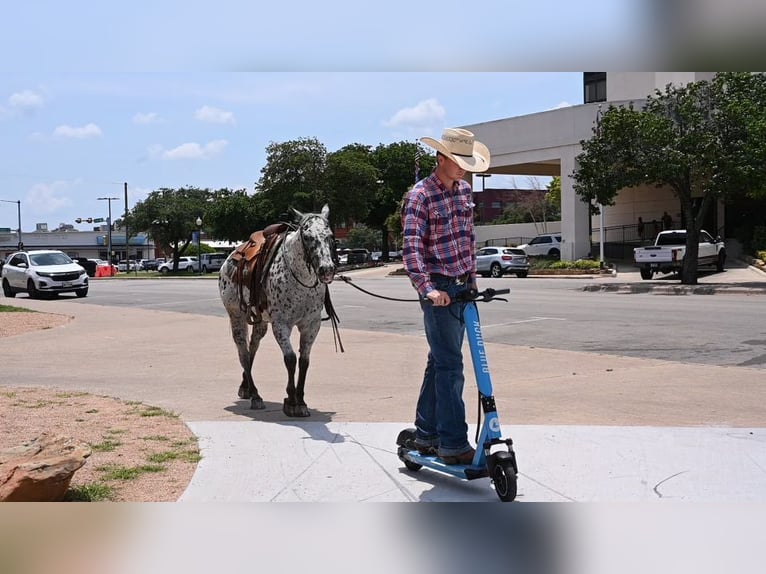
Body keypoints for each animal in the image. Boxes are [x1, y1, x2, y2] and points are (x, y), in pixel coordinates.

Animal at [216, 207, 336, 418]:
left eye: (329, 236)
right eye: (307, 237)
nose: (327, 270)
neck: (301, 279)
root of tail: (228, 261)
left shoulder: (311, 325)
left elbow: (304, 361)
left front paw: (301, 400)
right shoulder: (281, 324)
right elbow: (290, 359)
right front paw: (291, 401)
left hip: (261, 322)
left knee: (252, 347)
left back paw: (246, 387)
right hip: (236, 316)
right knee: (243, 352)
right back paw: (255, 395)